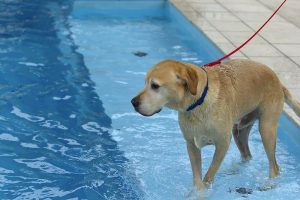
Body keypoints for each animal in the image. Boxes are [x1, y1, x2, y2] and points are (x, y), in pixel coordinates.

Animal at [131, 58, 300, 190]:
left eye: (155, 86)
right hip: (239, 130)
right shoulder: (191, 145)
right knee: (247, 154)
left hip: (266, 129)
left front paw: (205, 190)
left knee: (274, 166)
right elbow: (197, 177)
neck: (199, 102)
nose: (133, 102)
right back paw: (234, 169)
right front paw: (196, 192)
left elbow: (209, 175)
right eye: (145, 83)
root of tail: (278, 81)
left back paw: (269, 184)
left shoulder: (222, 143)